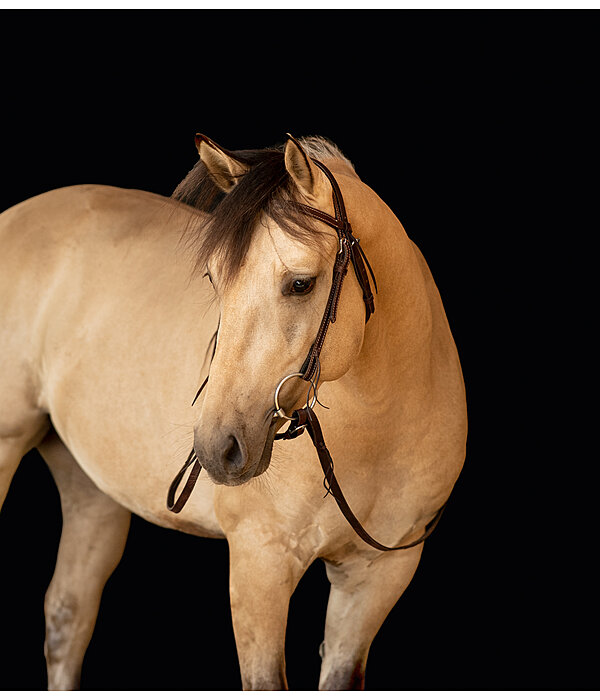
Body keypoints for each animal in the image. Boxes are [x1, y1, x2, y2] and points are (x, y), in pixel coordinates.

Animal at [0, 133, 468, 688]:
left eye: (301, 283)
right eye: (213, 278)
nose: (216, 448)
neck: (379, 428)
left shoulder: (377, 577)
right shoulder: (259, 564)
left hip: (91, 487)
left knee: (67, 616)